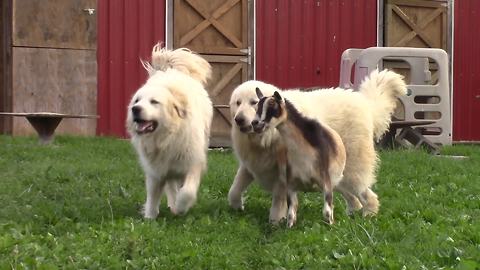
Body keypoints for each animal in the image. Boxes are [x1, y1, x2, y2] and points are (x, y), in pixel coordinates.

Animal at [126, 43, 213, 217]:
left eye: (154, 102)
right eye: (137, 100)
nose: (135, 109)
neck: (167, 138)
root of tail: (171, 70)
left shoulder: (193, 164)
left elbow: (187, 192)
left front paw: (181, 207)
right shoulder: (156, 170)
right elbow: (153, 195)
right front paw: (150, 217)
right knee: (171, 186)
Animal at [228, 70, 404, 224]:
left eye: (253, 102)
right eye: (238, 103)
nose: (239, 119)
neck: (264, 138)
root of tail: (364, 102)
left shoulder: (283, 175)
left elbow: (278, 203)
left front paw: (275, 223)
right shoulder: (250, 166)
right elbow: (234, 190)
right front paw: (237, 206)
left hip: (350, 172)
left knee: (367, 195)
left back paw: (369, 216)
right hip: (336, 176)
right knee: (353, 198)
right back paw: (352, 215)